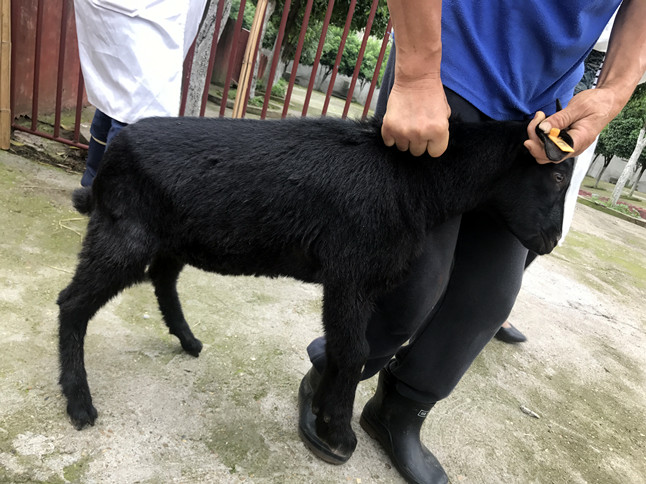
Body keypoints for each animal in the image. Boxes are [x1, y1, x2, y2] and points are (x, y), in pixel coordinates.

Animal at [57, 115, 573, 459]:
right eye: (557, 174)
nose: (549, 242)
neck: (413, 181)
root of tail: (112, 152)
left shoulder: (352, 279)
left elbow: (351, 348)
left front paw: (326, 416)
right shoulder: (350, 273)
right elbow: (352, 350)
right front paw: (338, 432)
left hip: (173, 238)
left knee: (162, 279)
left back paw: (188, 340)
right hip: (125, 232)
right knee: (72, 304)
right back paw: (79, 403)